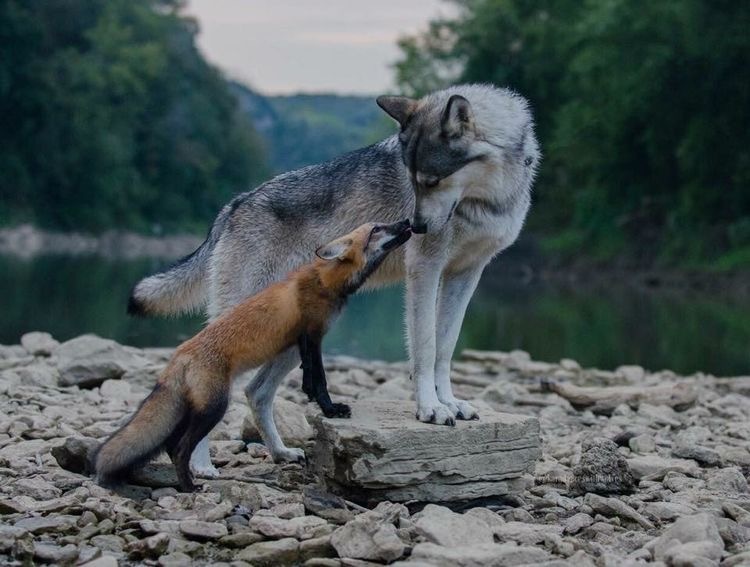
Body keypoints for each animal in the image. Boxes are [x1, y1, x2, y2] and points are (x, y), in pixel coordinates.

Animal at [94, 220, 414, 490]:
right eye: (377, 229)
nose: (407, 221)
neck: (325, 281)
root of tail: (178, 355)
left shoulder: (303, 341)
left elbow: (309, 380)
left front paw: (319, 404)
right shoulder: (313, 335)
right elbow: (320, 380)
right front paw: (330, 409)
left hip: (191, 410)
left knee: (172, 447)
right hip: (214, 407)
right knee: (181, 448)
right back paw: (190, 486)